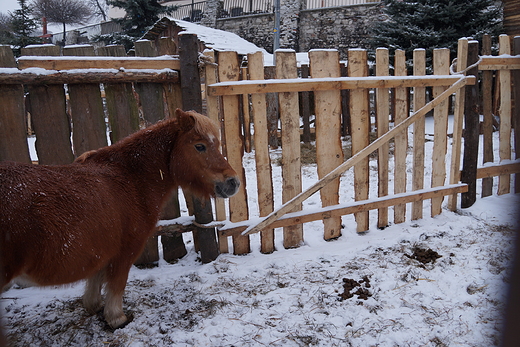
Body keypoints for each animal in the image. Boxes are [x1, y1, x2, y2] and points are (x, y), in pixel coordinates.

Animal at [0, 109, 240, 328]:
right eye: (200, 146)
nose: (233, 182)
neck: (130, 178)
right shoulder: (124, 253)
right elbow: (116, 286)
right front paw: (117, 318)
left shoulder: (101, 251)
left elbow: (95, 283)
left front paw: (95, 307)